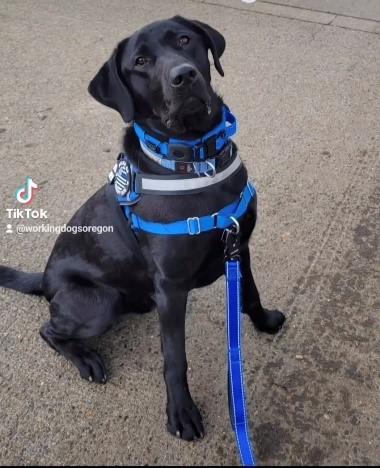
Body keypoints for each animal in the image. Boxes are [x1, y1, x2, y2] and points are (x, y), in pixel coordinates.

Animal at [0, 17, 284, 442]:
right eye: (140, 62)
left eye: (184, 40)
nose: (184, 76)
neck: (198, 161)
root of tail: (46, 278)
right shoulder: (171, 285)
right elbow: (175, 358)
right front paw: (181, 413)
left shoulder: (239, 244)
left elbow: (249, 294)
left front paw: (265, 323)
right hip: (98, 303)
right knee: (48, 330)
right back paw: (86, 359)